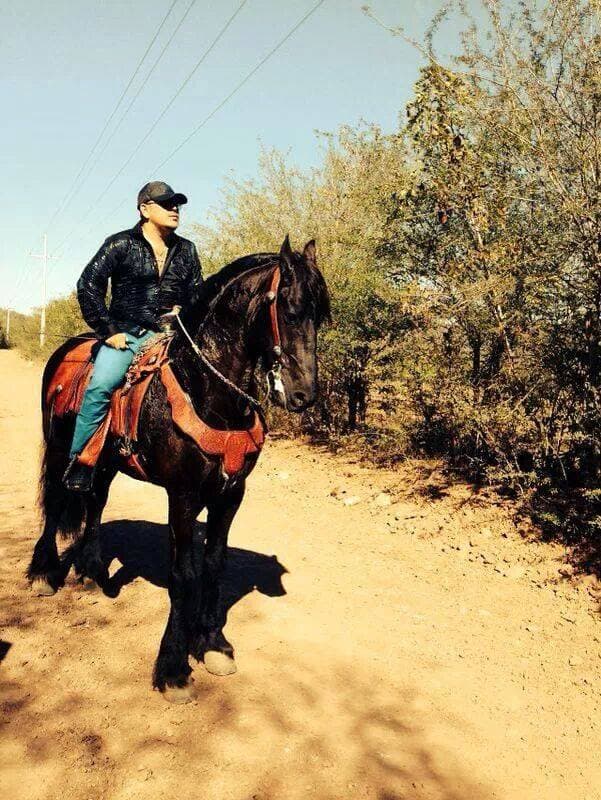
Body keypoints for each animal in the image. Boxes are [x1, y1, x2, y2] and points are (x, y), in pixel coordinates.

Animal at [26, 236, 330, 702]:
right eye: (291, 309)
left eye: (321, 314)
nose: (303, 395)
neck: (203, 388)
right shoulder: (183, 496)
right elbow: (183, 573)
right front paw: (172, 666)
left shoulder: (230, 493)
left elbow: (215, 564)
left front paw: (212, 644)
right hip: (61, 448)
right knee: (58, 502)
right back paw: (44, 572)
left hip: (105, 463)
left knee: (95, 502)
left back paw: (93, 572)